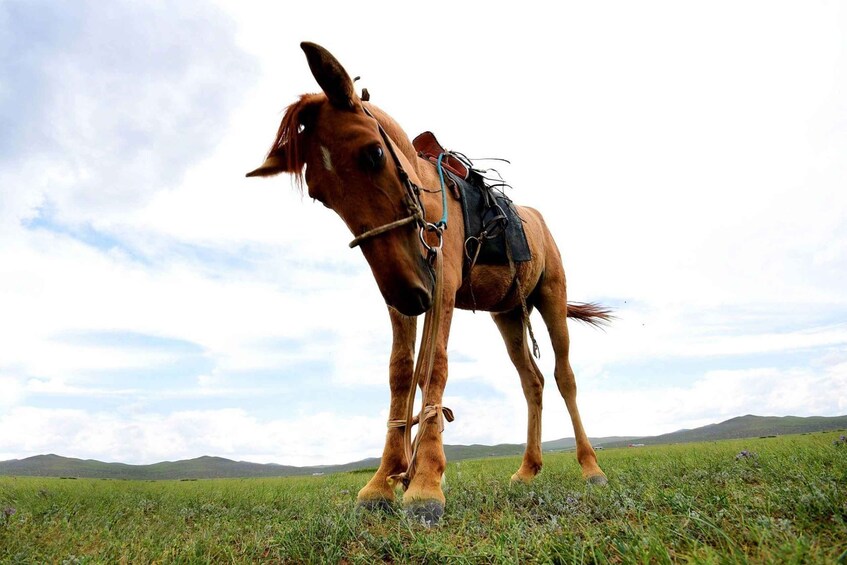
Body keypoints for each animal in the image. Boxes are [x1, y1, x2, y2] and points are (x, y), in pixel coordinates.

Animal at [247, 42, 610, 525]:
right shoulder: (403, 302)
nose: (406, 290)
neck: (427, 198)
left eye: (373, 154)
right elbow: (402, 374)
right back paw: (527, 470)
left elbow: (434, 368)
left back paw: (591, 468)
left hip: (551, 298)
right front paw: (384, 480)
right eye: (319, 194)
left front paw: (423, 482)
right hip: (507, 314)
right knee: (532, 381)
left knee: (564, 375)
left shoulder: (440, 290)